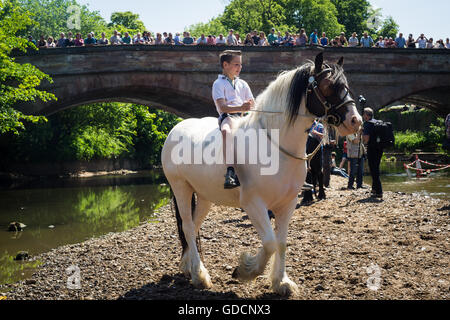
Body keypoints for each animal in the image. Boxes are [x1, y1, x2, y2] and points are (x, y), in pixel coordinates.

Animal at [161, 52, 362, 296]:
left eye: (346, 85)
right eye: (328, 86)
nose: (356, 121)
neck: (276, 145)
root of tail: (175, 130)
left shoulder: (287, 203)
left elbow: (281, 242)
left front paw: (281, 282)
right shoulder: (253, 204)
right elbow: (269, 243)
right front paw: (245, 270)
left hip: (204, 196)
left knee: (193, 224)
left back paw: (188, 266)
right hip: (181, 188)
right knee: (188, 227)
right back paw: (200, 276)